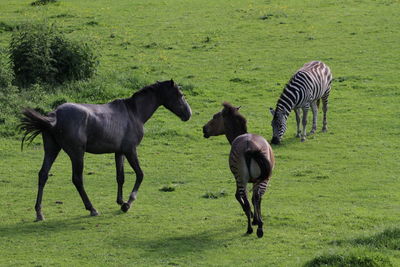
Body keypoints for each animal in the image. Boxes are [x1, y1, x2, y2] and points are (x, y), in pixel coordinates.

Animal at [19, 80, 192, 222]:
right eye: (180, 95)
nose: (188, 114)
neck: (134, 112)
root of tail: (54, 116)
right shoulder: (130, 150)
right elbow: (140, 174)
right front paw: (128, 203)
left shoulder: (119, 152)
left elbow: (120, 177)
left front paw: (120, 201)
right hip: (77, 154)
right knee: (77, 179)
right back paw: (92, 208)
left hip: (52, 150)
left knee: (43, 175)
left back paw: (39, 213)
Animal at [203, 102, 276, 239]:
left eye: (215, 116)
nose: (203, 129)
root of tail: (249, 147)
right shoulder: (254, 180)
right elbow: (254, 198)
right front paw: (256, 219)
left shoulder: (238, 178)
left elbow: (239, 196)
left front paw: (253, 217)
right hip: (261, 179)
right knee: (257, 197)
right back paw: (259, 228)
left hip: (242, 178)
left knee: (247, 200)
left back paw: (250, 228)